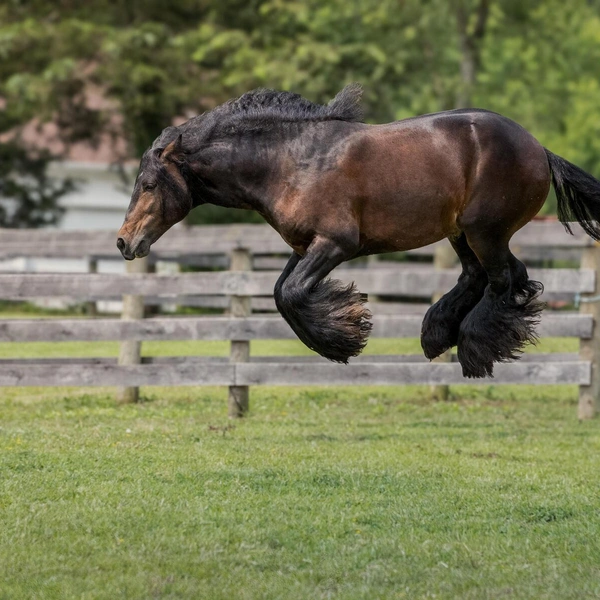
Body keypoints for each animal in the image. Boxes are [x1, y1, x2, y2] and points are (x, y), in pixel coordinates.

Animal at [116, 83, 600, 380]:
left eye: (149, 184)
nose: (124, 241)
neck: (289, 162)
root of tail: (539, 148)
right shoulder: (303, 246)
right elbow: (280, 292)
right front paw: (343, 329)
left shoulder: (335, 244)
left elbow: (291, 294)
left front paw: (344, 338)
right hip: (462, 233)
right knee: (486, 276)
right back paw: (436, 334)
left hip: (485, 231)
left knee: (503, 279)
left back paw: (474, 348)